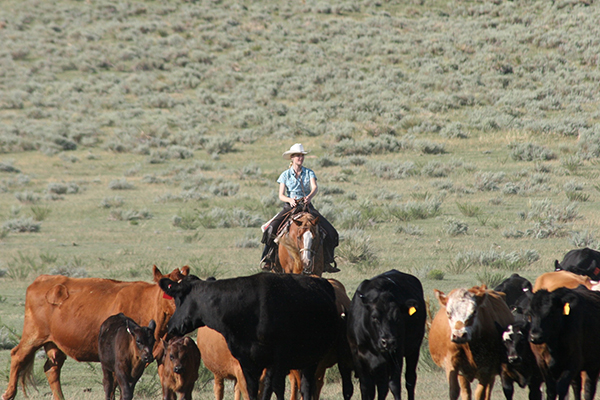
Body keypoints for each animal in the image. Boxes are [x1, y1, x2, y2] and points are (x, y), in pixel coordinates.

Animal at [1, 266, 190, 400]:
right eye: (170, 290)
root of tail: (44, 278)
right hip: (33, 336)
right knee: (18, 356)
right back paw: (8, 394)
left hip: (55, 344)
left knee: (52, 368)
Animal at [158, 274, 346, 400]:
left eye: (178, 298)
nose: (171, 326)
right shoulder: (247, 362)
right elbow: (252, 390)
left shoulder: (277, 361)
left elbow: (273, 388)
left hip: (312, 359)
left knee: (306, 387)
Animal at [346, 268, 426, 400]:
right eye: (374, 317)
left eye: (398, 317)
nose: (388, 342)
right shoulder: (358, 356)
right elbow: (367, 388)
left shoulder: (396, 353)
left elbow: (394, 385)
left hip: (414, 349)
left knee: (410, 379)